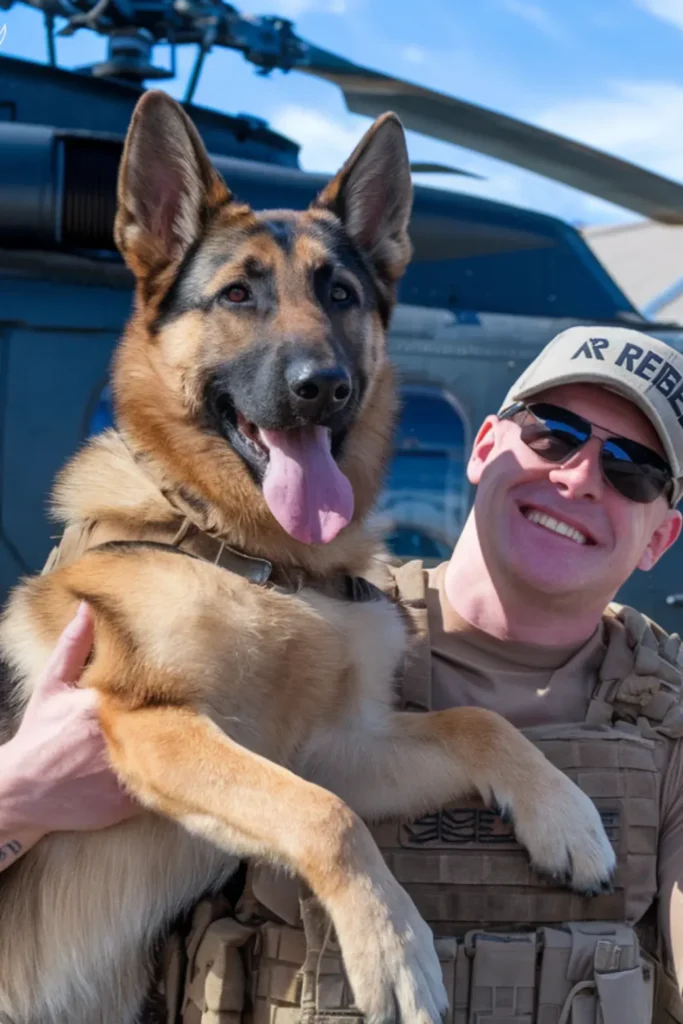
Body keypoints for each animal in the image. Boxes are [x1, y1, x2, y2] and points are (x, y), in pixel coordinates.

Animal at [0, 90, 614, 1024]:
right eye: (237, 294)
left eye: (340, 294)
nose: (322, 386)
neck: (258, 554)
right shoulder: (154, 724)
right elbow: (327, 818)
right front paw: (393, 949)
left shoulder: (334, 749)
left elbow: (475, 723)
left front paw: (566, 815)